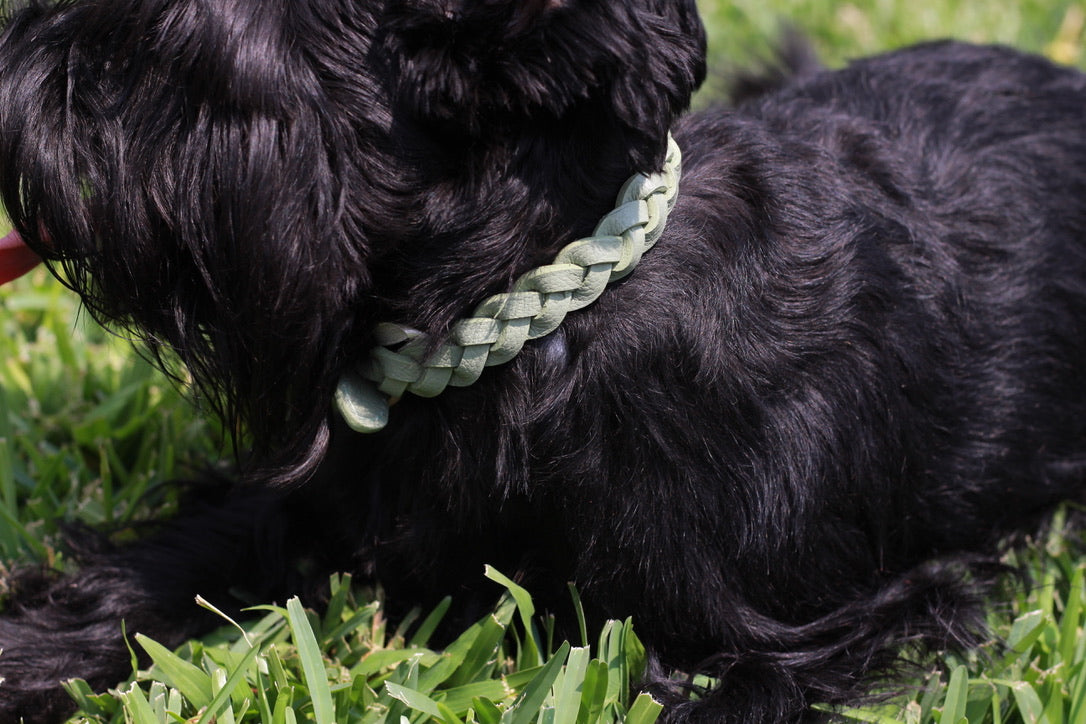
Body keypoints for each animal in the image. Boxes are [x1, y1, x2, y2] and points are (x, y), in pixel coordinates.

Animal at [2, 0, 1086, 720]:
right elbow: (171, 561)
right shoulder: (319, 500)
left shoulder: (812, 625)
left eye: (155, 46)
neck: (525, 322)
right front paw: (31, 649)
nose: (25, 57)